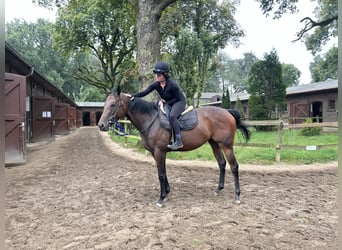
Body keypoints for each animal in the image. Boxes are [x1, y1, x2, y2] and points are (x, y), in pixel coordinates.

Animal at [97, 86, 250, 207]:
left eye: (113, 104)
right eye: (105, 104)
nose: (101, 125)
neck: (151, 120)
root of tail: (227, 112)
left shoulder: (159, 152)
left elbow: (160, 174)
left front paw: (161, 198)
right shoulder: (157, 153)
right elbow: (164, 172)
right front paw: (166, 193)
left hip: (226, 146)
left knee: (234, 166)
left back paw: (237, 196)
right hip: (215, 144)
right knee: (222, 164)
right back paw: (218, 189)